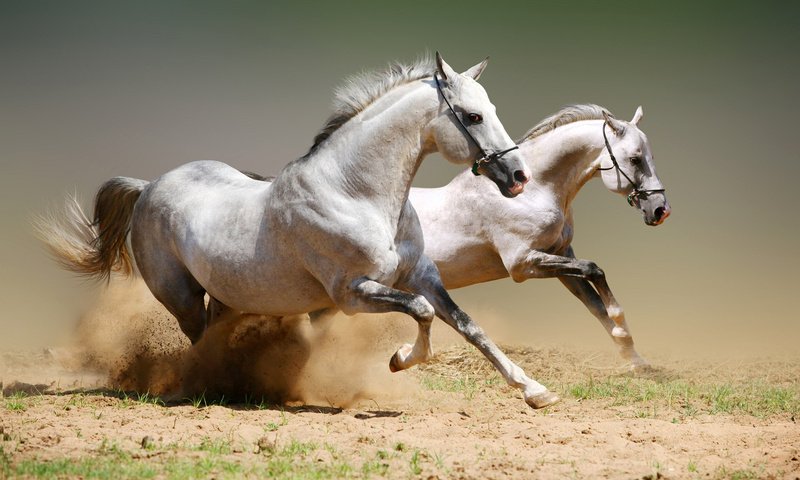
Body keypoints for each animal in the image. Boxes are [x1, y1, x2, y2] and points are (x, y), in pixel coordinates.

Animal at [37, 55, 564, 408]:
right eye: (473, 116)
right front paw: (399, 359)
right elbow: (421, 314)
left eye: (490, 108)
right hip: (180, 296)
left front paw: (535, 391)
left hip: (227, 296)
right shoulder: (352, 294)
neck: (355, 193)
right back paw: (207, 386)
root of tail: (148, 187)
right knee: (198, 340)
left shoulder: (422, 276)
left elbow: (468, 326)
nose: (518, 176)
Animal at [412, 104, 668, 368]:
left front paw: (635, 360)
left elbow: (595, 304)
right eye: (635, 159)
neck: (533, 192)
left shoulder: (560, 256)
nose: (660, 210)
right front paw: (621, 326)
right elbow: (594, 269)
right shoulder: (522, 264)